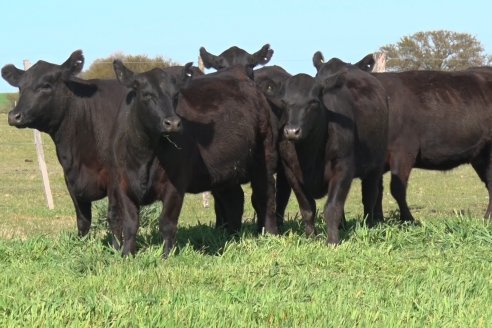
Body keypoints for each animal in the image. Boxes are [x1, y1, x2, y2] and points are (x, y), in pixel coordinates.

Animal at [1, 50, 127, 236]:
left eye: (46, 85)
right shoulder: (70, 178)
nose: (14, 116)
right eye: (20, 87)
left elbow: (115, 217)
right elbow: (82, 220)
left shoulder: (114, 177)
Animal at [113, 60, 278, 256]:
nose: (173, 123)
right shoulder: (123, 185)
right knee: (234, 200)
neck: (145, 156)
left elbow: (167, 223)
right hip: (225, 171)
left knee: (264, 196)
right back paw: (232, 237)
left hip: (264, 156)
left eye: (175, 95)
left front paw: (167, 256)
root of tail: (239, 72)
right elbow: (130, 225)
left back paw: (269, 235)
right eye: (147, 95)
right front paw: (127, 255)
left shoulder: (175, 185)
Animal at [262, 54, 388, 243]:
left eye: (313, 102)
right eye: (284, 102)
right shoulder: (291, 172)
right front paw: (310, 238)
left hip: (375, 166)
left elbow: (332, 208)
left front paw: (333, 241)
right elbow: (307, 208)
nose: (292, 131)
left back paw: (369, 225)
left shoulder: (343, 168)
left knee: (370, 196)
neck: (309, 153)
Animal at [316, 54, 492, 223]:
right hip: (481, 156)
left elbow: (397, 189)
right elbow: (378, 191)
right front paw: (377, 220)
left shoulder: (403, 151)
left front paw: (408, 219)